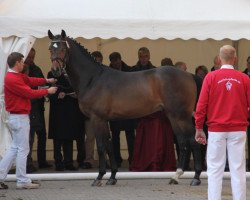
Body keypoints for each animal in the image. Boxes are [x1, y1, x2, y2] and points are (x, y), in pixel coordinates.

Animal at [47, 29, 197, 186]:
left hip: (179, 116)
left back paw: (193, 177)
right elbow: (109, 146)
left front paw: (99, 177)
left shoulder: (97, 118)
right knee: (184, 142)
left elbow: (101, 146)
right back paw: (177, 176)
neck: (93, 79)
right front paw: (112, 176)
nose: (55, 71)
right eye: (50, 48)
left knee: (190, 141)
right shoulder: (104, 120)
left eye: (63, 49)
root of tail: (188, 75)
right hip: (175, 116)